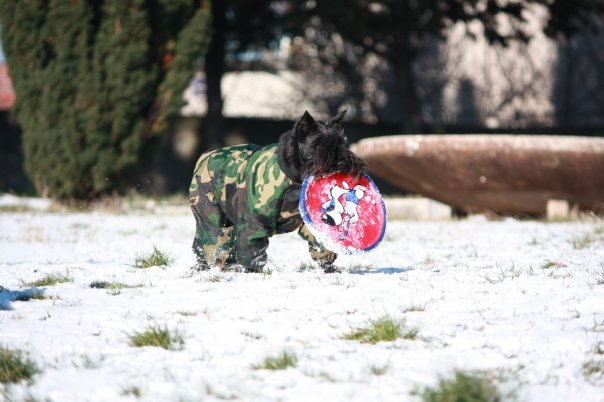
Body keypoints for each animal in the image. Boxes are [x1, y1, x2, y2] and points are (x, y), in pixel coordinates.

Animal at [188, 110, 367, 273]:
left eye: (342, 143)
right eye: (317, 144)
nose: (342, 163)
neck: (294, 176)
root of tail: (204, 157)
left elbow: (321, 243)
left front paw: (329, 268)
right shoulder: (253, 222)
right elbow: (253, 250)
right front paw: (252, 271)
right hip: (210, 215)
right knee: (211, 239)